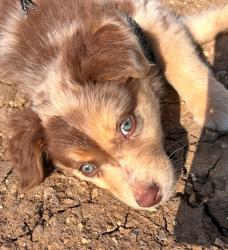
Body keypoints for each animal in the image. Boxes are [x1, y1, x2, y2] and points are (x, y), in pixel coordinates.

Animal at [1, 0, 228, 210]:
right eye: (87, 169)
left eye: (127, 125)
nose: (149, 199)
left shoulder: (142, 13)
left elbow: (179, 55)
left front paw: (214, 104)